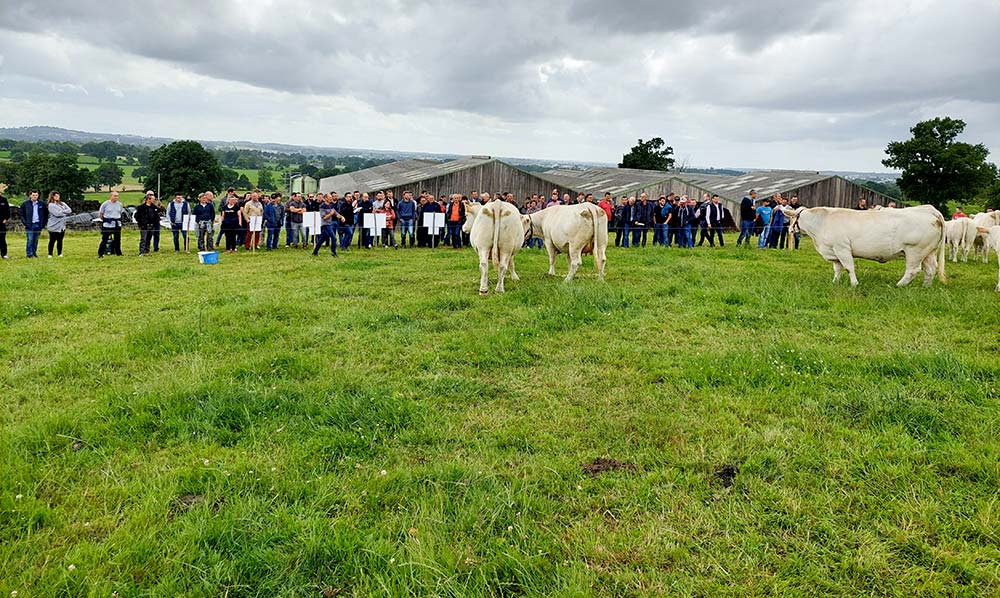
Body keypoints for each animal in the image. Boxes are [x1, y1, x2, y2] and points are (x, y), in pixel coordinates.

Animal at [780, 206, 944, 288]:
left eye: (792, 218)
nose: (789, 230)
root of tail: (931, 211)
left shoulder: (842, 248)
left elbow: (849, 267)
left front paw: (854, 284)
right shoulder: (834, 252)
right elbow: (837, 269)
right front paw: (835, 282)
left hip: (914, 250)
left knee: (913, 270)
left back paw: (899, 285)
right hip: (928, 252)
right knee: (930, 269)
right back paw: (926, 287)